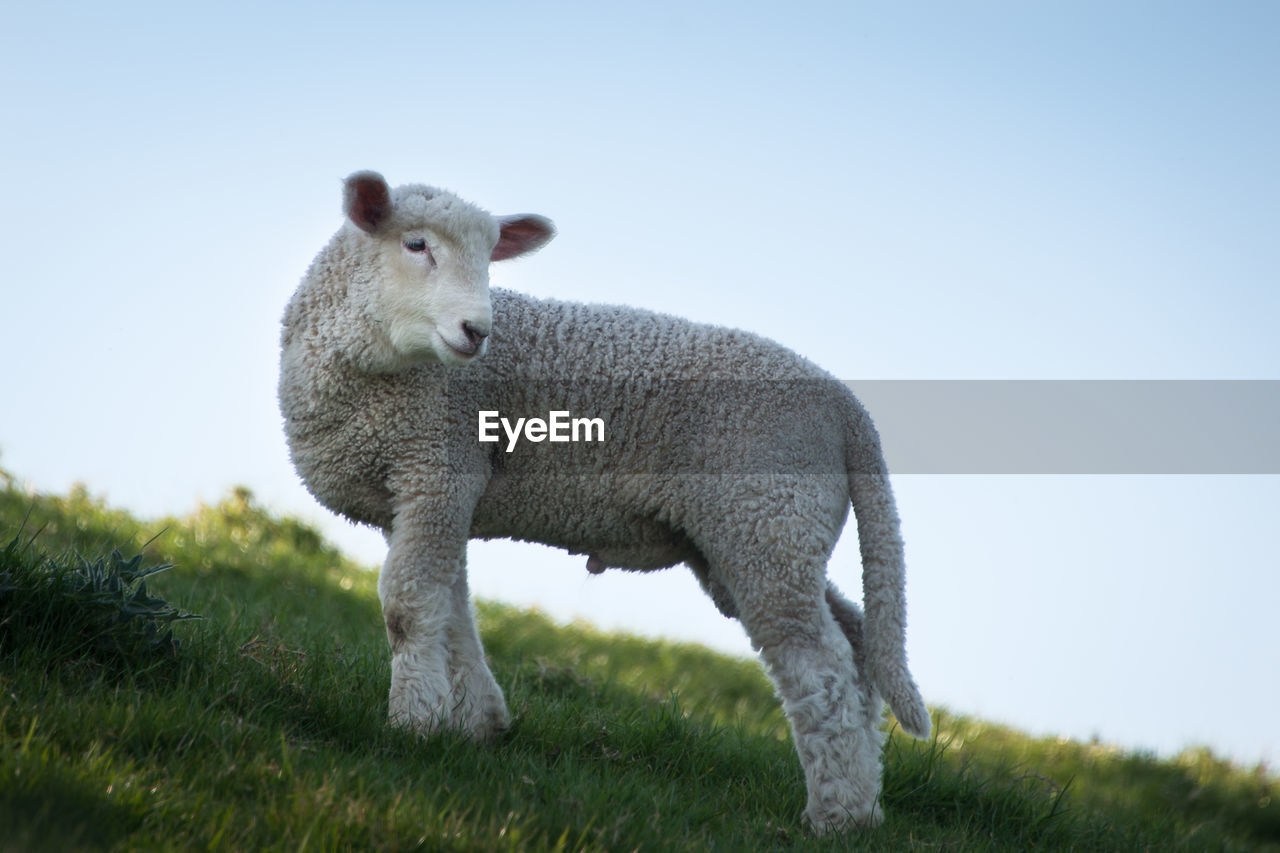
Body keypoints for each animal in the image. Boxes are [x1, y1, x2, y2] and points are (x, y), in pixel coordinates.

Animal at [277, 169, 931, 824]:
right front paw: (476, 723)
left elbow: (409, 606)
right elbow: (451, 606)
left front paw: (412, 723)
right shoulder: (437, 491)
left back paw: (837, 816)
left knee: (821, 665)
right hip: (773, 529)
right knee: (857, 643)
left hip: (765, 518)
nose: (477, 332)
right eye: (416, 245)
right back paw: (864, 798)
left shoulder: (439, 465)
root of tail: (849, 411)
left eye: (490, 259)